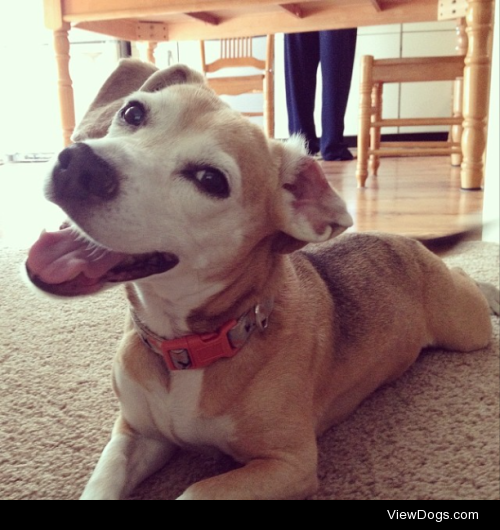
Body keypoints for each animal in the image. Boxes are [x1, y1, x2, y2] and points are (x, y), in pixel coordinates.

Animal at [24, 62, 500, 500]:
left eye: (210, 180)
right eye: (133, 112)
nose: (78, 165)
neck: (187, 348)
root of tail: (404, 239)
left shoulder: (288, 465)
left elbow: (196, 491)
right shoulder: (134, 435)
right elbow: (101, 484)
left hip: (465, 327)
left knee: (466, 277)